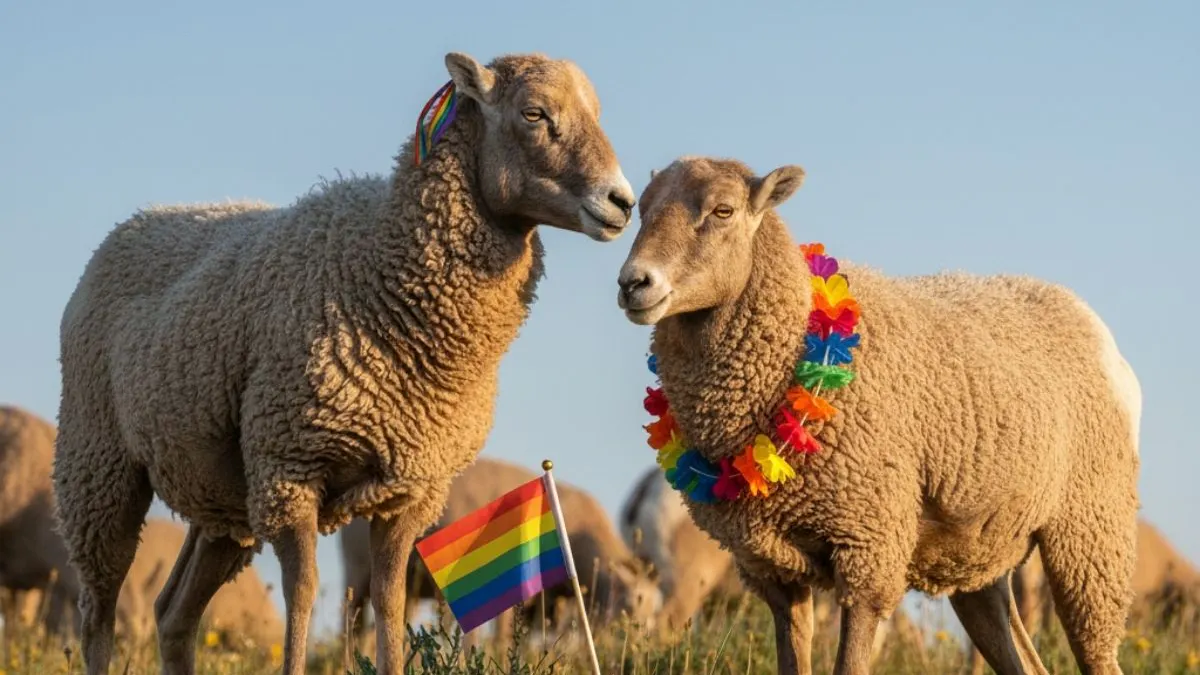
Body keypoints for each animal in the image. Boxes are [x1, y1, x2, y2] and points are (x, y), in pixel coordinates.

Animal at [340, 457, 661, 652]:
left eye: (652, 611)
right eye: (631, 605)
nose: (639, 646)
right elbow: (502, 637)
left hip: (407, 585)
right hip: (357, 569)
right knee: (350, 620)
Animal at [615, 156, 1141, 675]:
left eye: (722, 211)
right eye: (642, 211)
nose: (633, 283)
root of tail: (1081, 313)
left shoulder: (868, 544)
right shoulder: (773, 570)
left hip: (1091, 528)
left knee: (1096, 649)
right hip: (977, 552)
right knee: (1025, 661)